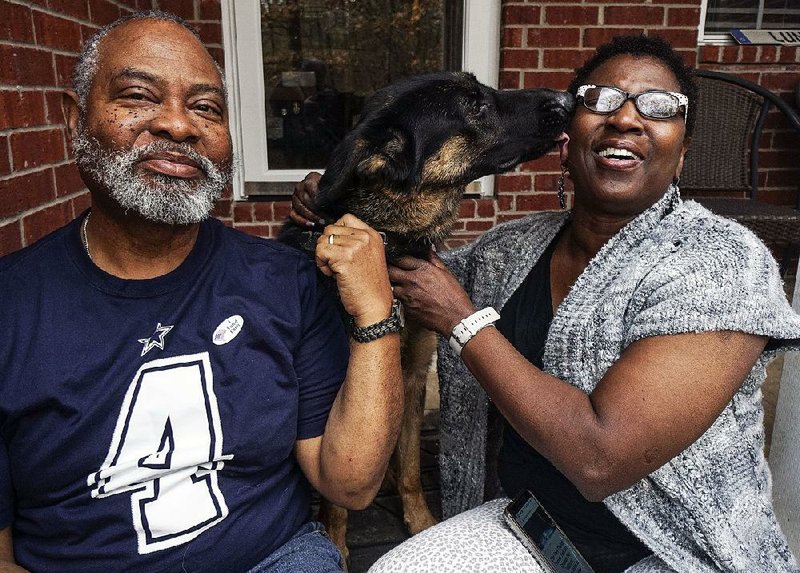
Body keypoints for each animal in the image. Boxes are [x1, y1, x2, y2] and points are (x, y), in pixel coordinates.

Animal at [278, 70, 572, 564]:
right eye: (474, 104)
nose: (568, 99)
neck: (389, 240)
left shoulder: (414, 374)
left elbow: (414, 466)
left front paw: (419, 521)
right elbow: (337, 498)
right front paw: (336, 542)